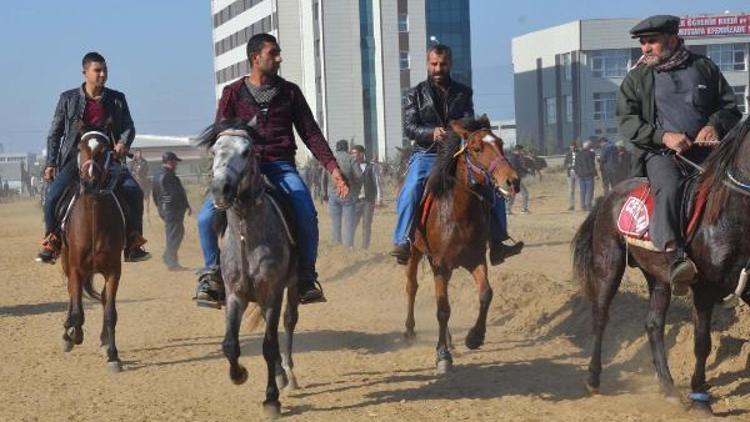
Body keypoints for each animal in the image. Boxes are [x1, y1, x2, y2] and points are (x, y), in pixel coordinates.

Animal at [59, 130, 126, 370]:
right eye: (80, 148)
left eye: (105, 150)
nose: (89, 182)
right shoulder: (76, 269)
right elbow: (78, 310)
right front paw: (73, 335)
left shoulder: (114, 271)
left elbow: (110, 313)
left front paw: (113, 355)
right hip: (66, 262)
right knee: (72, 296)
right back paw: (68, 331)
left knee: (103, 299)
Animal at [200, 118, 300, 418]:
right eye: (215, 150)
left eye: (246, 152)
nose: (221, 189)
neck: (247, 236)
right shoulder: (236, 295)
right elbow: (230, 344)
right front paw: (239, 374)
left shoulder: (272, 294)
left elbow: (269, 344)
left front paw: (271, 399)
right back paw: (280, 373)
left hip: (293, 285)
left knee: (288, 323)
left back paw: (289, 375)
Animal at [406, 115, 524, 372]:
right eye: (477, 148)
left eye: (501, 143)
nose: (512, 181)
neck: (458, 215)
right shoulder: (440, 265)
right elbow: (442, 309)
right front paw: (442, 355)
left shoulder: (476, 260)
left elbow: (486, 294)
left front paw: (475, 337)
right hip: (414, 252)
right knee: (412, 287)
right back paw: (410, 330)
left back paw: (451, 340)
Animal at [576, 117, 750, 414]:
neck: (732, 215)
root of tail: (609, 196)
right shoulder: (704, 290)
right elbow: (702, 343)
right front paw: (700, 397)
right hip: (608, 265)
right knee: (600, 317)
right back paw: (593, 378)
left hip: (658, 277)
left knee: (654, 325)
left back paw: (668, 387)